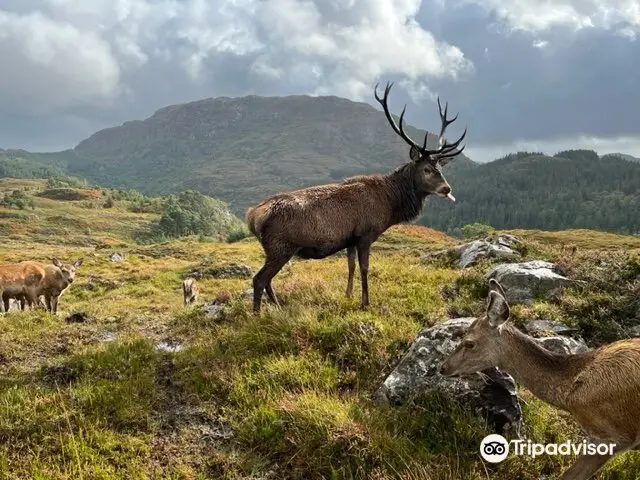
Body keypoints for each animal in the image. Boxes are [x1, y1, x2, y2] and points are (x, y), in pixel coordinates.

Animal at [245, 82, 464, 314]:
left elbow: (350, 265)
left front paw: (348, 295)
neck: (390, 203)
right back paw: (258, 315)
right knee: (259, 279)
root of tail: (253, 215)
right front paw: (365, 302)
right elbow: (364, 268)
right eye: (426, 169)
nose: (447, 188)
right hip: (280, 247)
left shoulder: (350, 238)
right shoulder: (365, 234)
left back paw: (278, 307)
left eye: (440, 168)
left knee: (267, 280)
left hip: (273, 249)